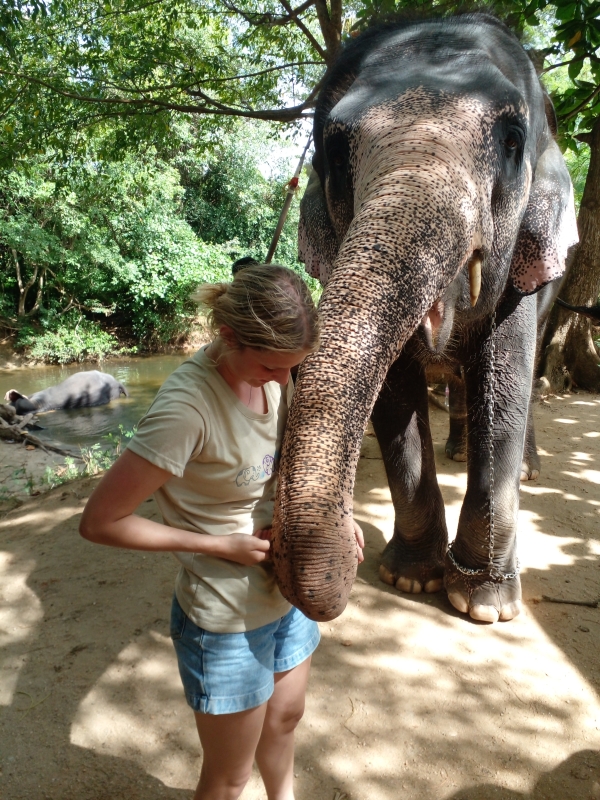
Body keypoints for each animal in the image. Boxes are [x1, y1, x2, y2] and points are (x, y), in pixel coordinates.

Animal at [271, 14, 579, 624]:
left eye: (513, 140)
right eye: (333, 153)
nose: (348, 546)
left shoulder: (520, 272)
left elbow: (504, 379)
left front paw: (484, 604)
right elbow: (395, 390)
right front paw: (411, 579)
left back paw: (524, 471)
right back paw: (458, 450)